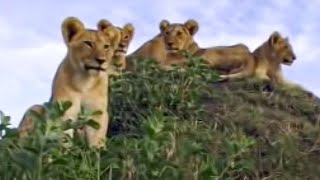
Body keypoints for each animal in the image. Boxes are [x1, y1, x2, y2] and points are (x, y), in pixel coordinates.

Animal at [18, 16, 121, 148]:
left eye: (106, 46)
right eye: (88, 43)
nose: (101, 60)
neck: (85, 80)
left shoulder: (97, 111)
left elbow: (97, 137)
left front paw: (98, 152)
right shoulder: (63, 110)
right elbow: (64, 136)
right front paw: (65, 152)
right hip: (34, 109)